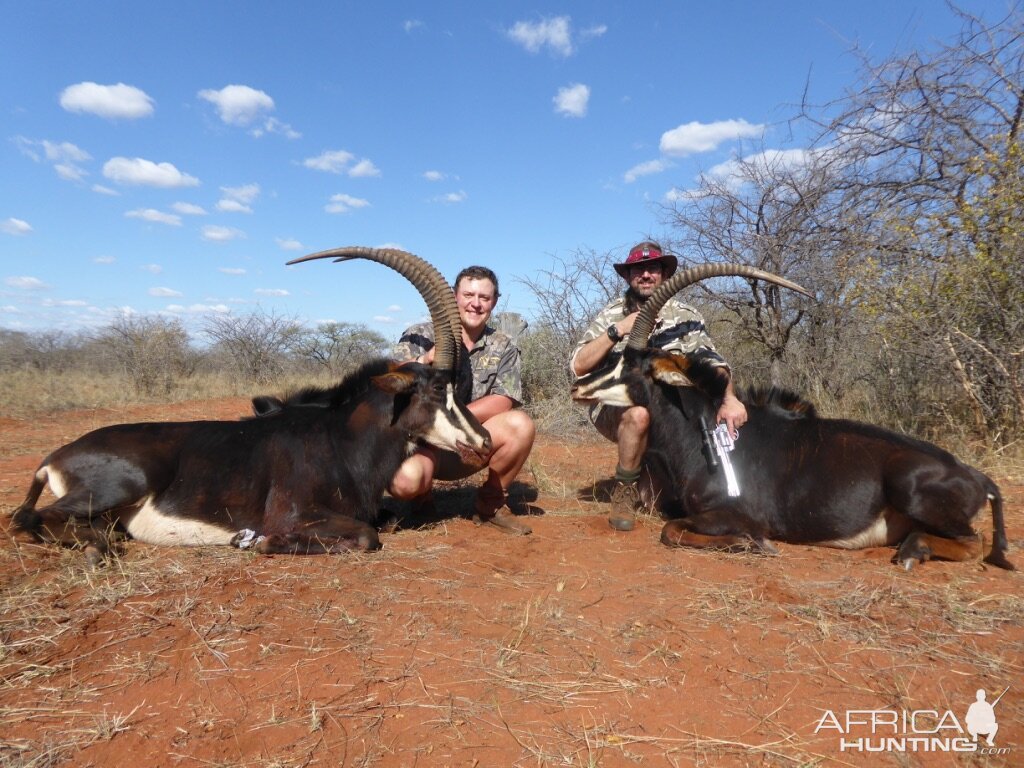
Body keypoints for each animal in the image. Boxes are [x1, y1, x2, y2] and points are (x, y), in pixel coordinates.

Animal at [12, 249, 491, 561]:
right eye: (436, 389)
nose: (485, 441)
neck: (339, 439)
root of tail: (55, 456)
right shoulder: (293, 515)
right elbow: (366, 536)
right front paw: (258, 542)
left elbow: (382, 521)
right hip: (119, 486)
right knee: (25, 519)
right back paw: (96, 548)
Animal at [573, 266, 1011, 573]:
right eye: (615, 355)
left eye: (633, 366)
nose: (579, 386)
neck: (704, 433)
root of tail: (977, 477)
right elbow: (671, 526)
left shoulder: (736, 515)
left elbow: (672, 530)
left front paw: (752, 544)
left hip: (910, 486)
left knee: (974, 543)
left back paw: (914, 551)